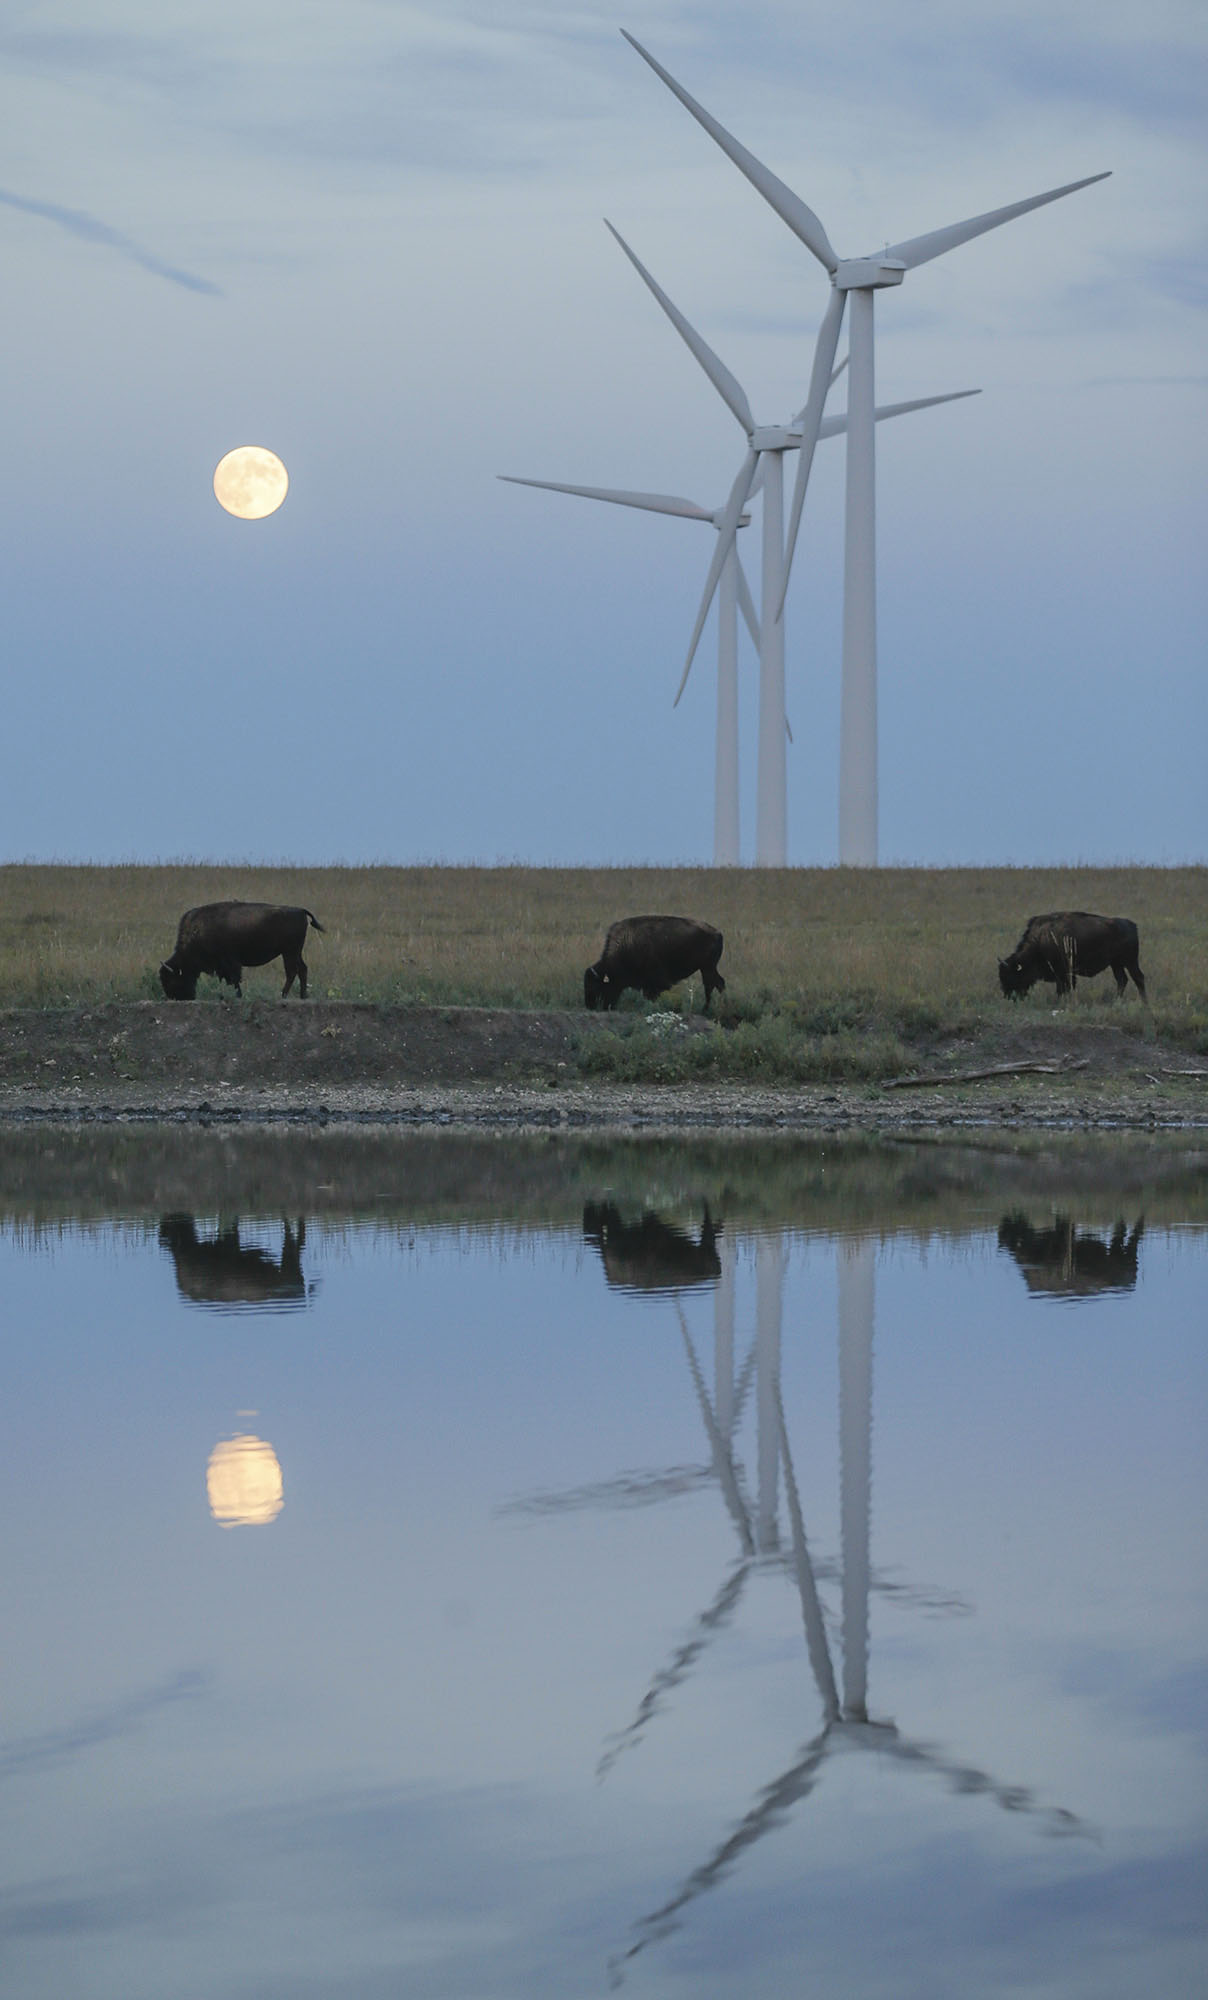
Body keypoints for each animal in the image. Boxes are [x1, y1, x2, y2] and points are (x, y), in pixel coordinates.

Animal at [157, 904, 326, 1000]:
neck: (198, 931)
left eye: (172, 980)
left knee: (292, 971)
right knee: (302, 969)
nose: (177, 998)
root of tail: (300, 910)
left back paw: (284, 995)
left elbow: (234, 979)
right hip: (294, 952)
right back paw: (302, 996)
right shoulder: (222, 966)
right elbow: (227, 980)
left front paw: (237, 995)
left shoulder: (230, 963)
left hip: (289, 952)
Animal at [580, 920, 720, 1016]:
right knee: (718, 984)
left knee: (710, 987)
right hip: (709, 968)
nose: (589, 1006)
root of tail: (717, 933)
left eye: (595, 986)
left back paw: (705, 1010)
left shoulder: (654, 983)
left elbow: (652, 995)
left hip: (707, 968)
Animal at [996, 912, 1144, 1000]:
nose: (1009, 997)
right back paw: (1117, 1000)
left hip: (1130, 961)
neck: (1040, 941)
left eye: (1010, 976)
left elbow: (1062, 989)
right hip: (1116, 963)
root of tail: (1132, 926)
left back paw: (1144, 1003)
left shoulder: (1063, 973)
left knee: (1138, 978)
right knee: (1122, 980)